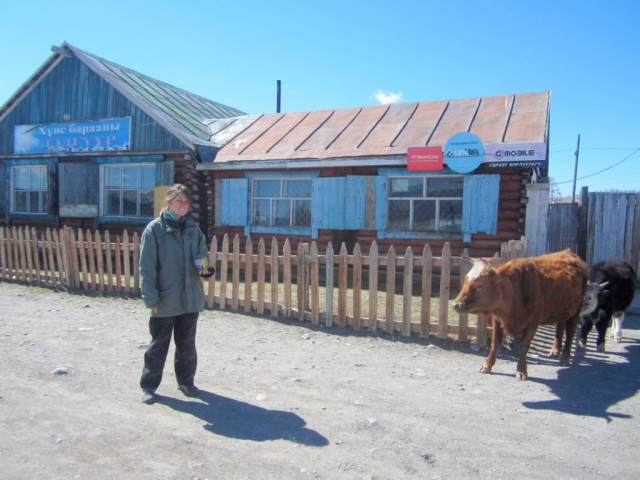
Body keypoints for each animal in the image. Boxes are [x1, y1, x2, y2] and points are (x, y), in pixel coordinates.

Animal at [452, 249, 588, 380]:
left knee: (570, 332)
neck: (515, 292)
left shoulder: (533, 323)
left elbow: (523, 346)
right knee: (560, 327)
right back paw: (555, 350)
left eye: (480, 285)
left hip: (575, 311)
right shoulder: (498, 319)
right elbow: (495, 343)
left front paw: (521, 370)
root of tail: (569, 252)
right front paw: (487, 365)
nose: (455, 304)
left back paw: (565, 357)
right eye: (465, 281)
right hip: (561, 309)